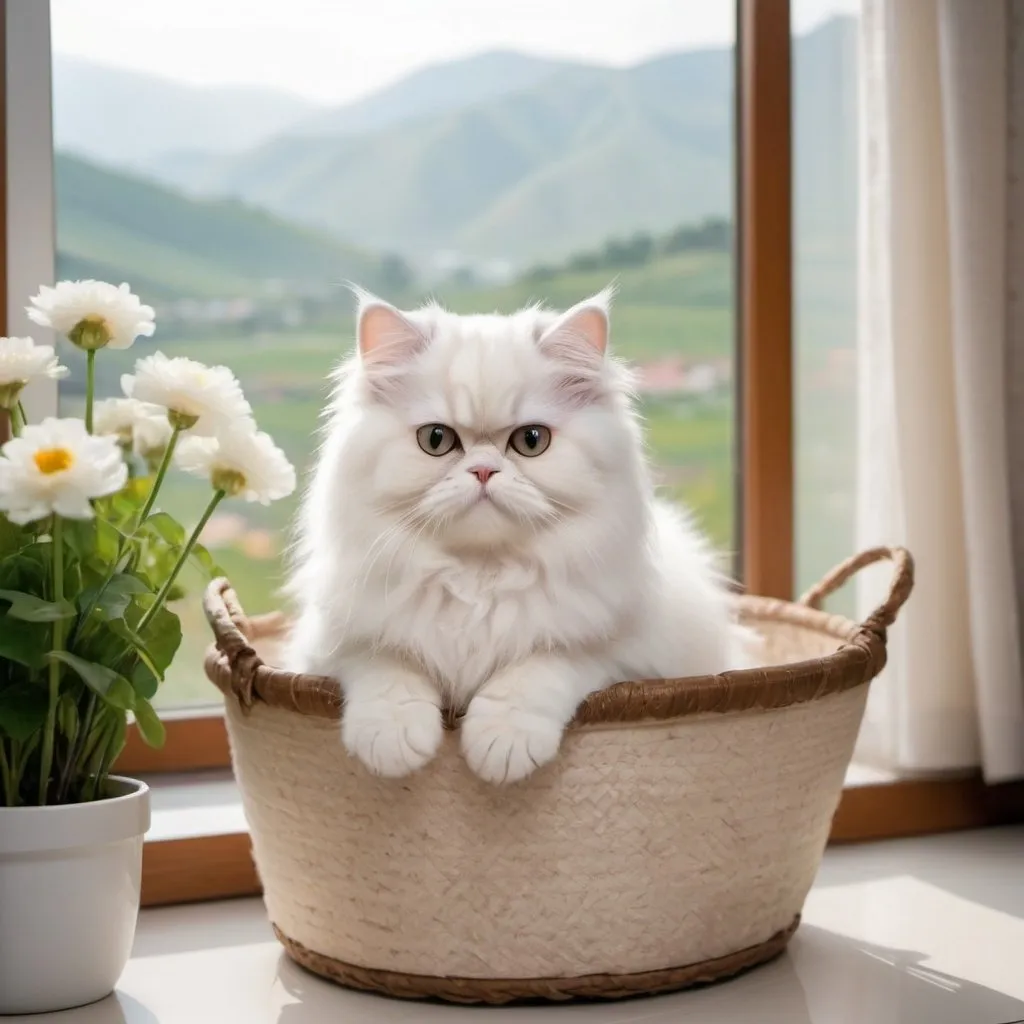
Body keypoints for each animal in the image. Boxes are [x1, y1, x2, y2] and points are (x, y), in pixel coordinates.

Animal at [284, 288, 757, 782]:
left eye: (532, 440)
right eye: (436, 439)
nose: (483, 471)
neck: (478, 575)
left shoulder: (620, 653)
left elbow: (539, 668)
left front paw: (501, 744)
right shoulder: (333, 642)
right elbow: (386, 665)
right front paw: (393, 740)